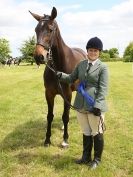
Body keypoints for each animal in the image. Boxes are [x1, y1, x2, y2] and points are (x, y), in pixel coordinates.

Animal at [29, 6, 87, 147]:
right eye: (36, 30)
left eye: (50, 30)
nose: (38, 56)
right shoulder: (49, 94)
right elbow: (50, 116)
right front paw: (47, 140)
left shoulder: (67, 94)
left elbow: (65, 116)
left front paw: (65, 139)